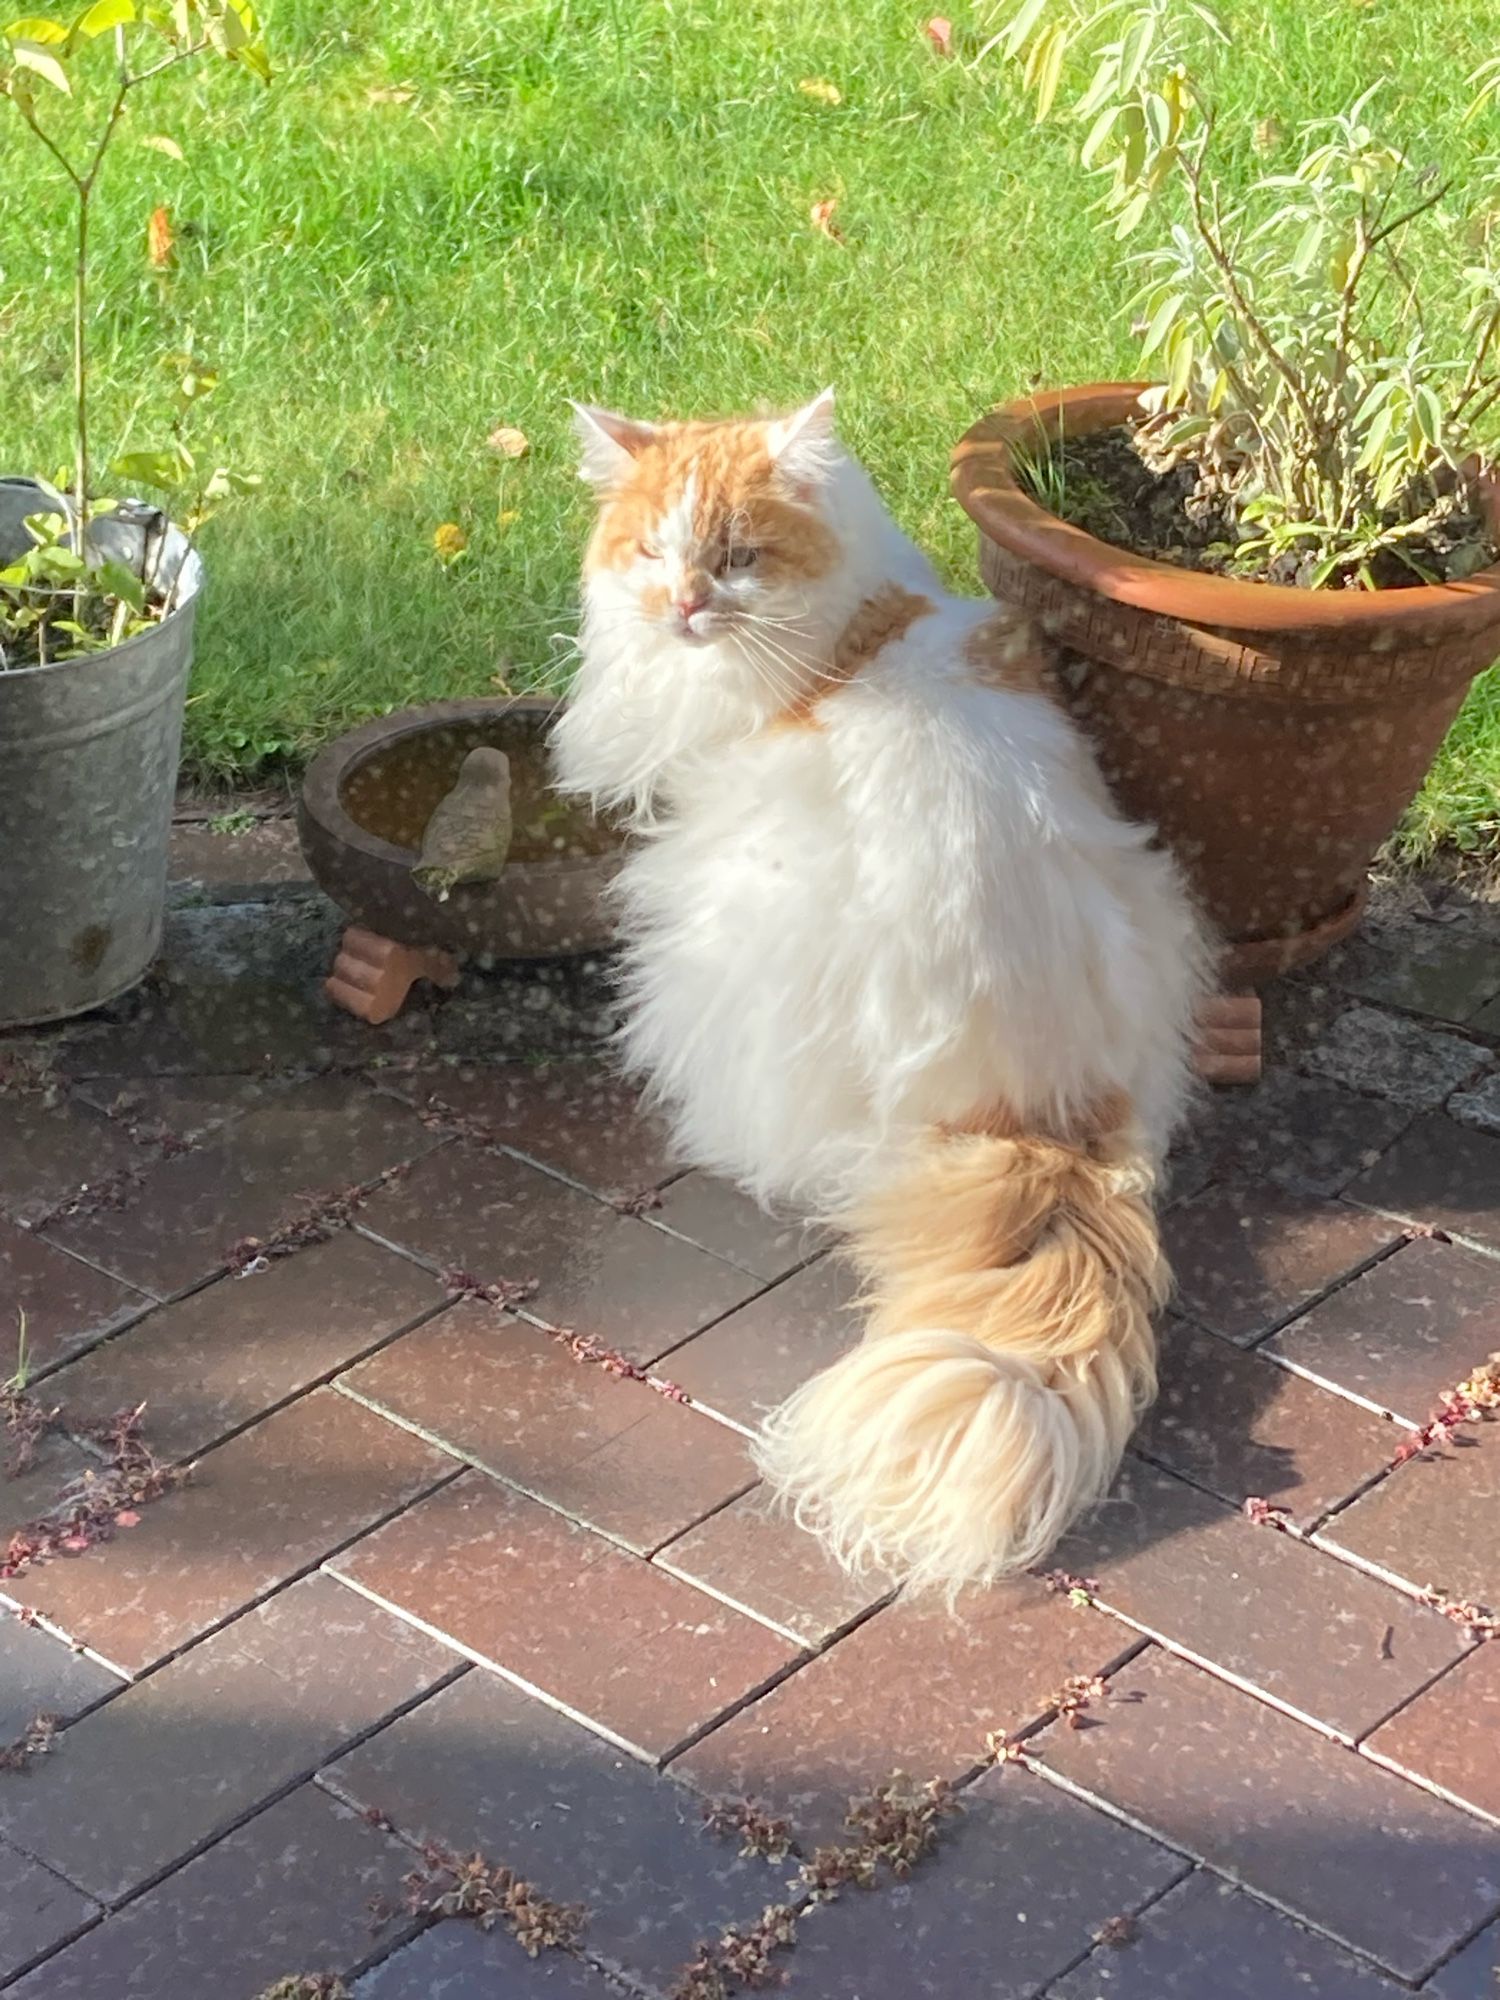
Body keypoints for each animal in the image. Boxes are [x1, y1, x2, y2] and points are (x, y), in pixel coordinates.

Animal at [552, 398, 1208, 1600]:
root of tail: (1042, 1116)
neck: (847, 621)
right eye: (653, 550)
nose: (684, 605)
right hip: (1159, 909)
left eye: (737, 558)